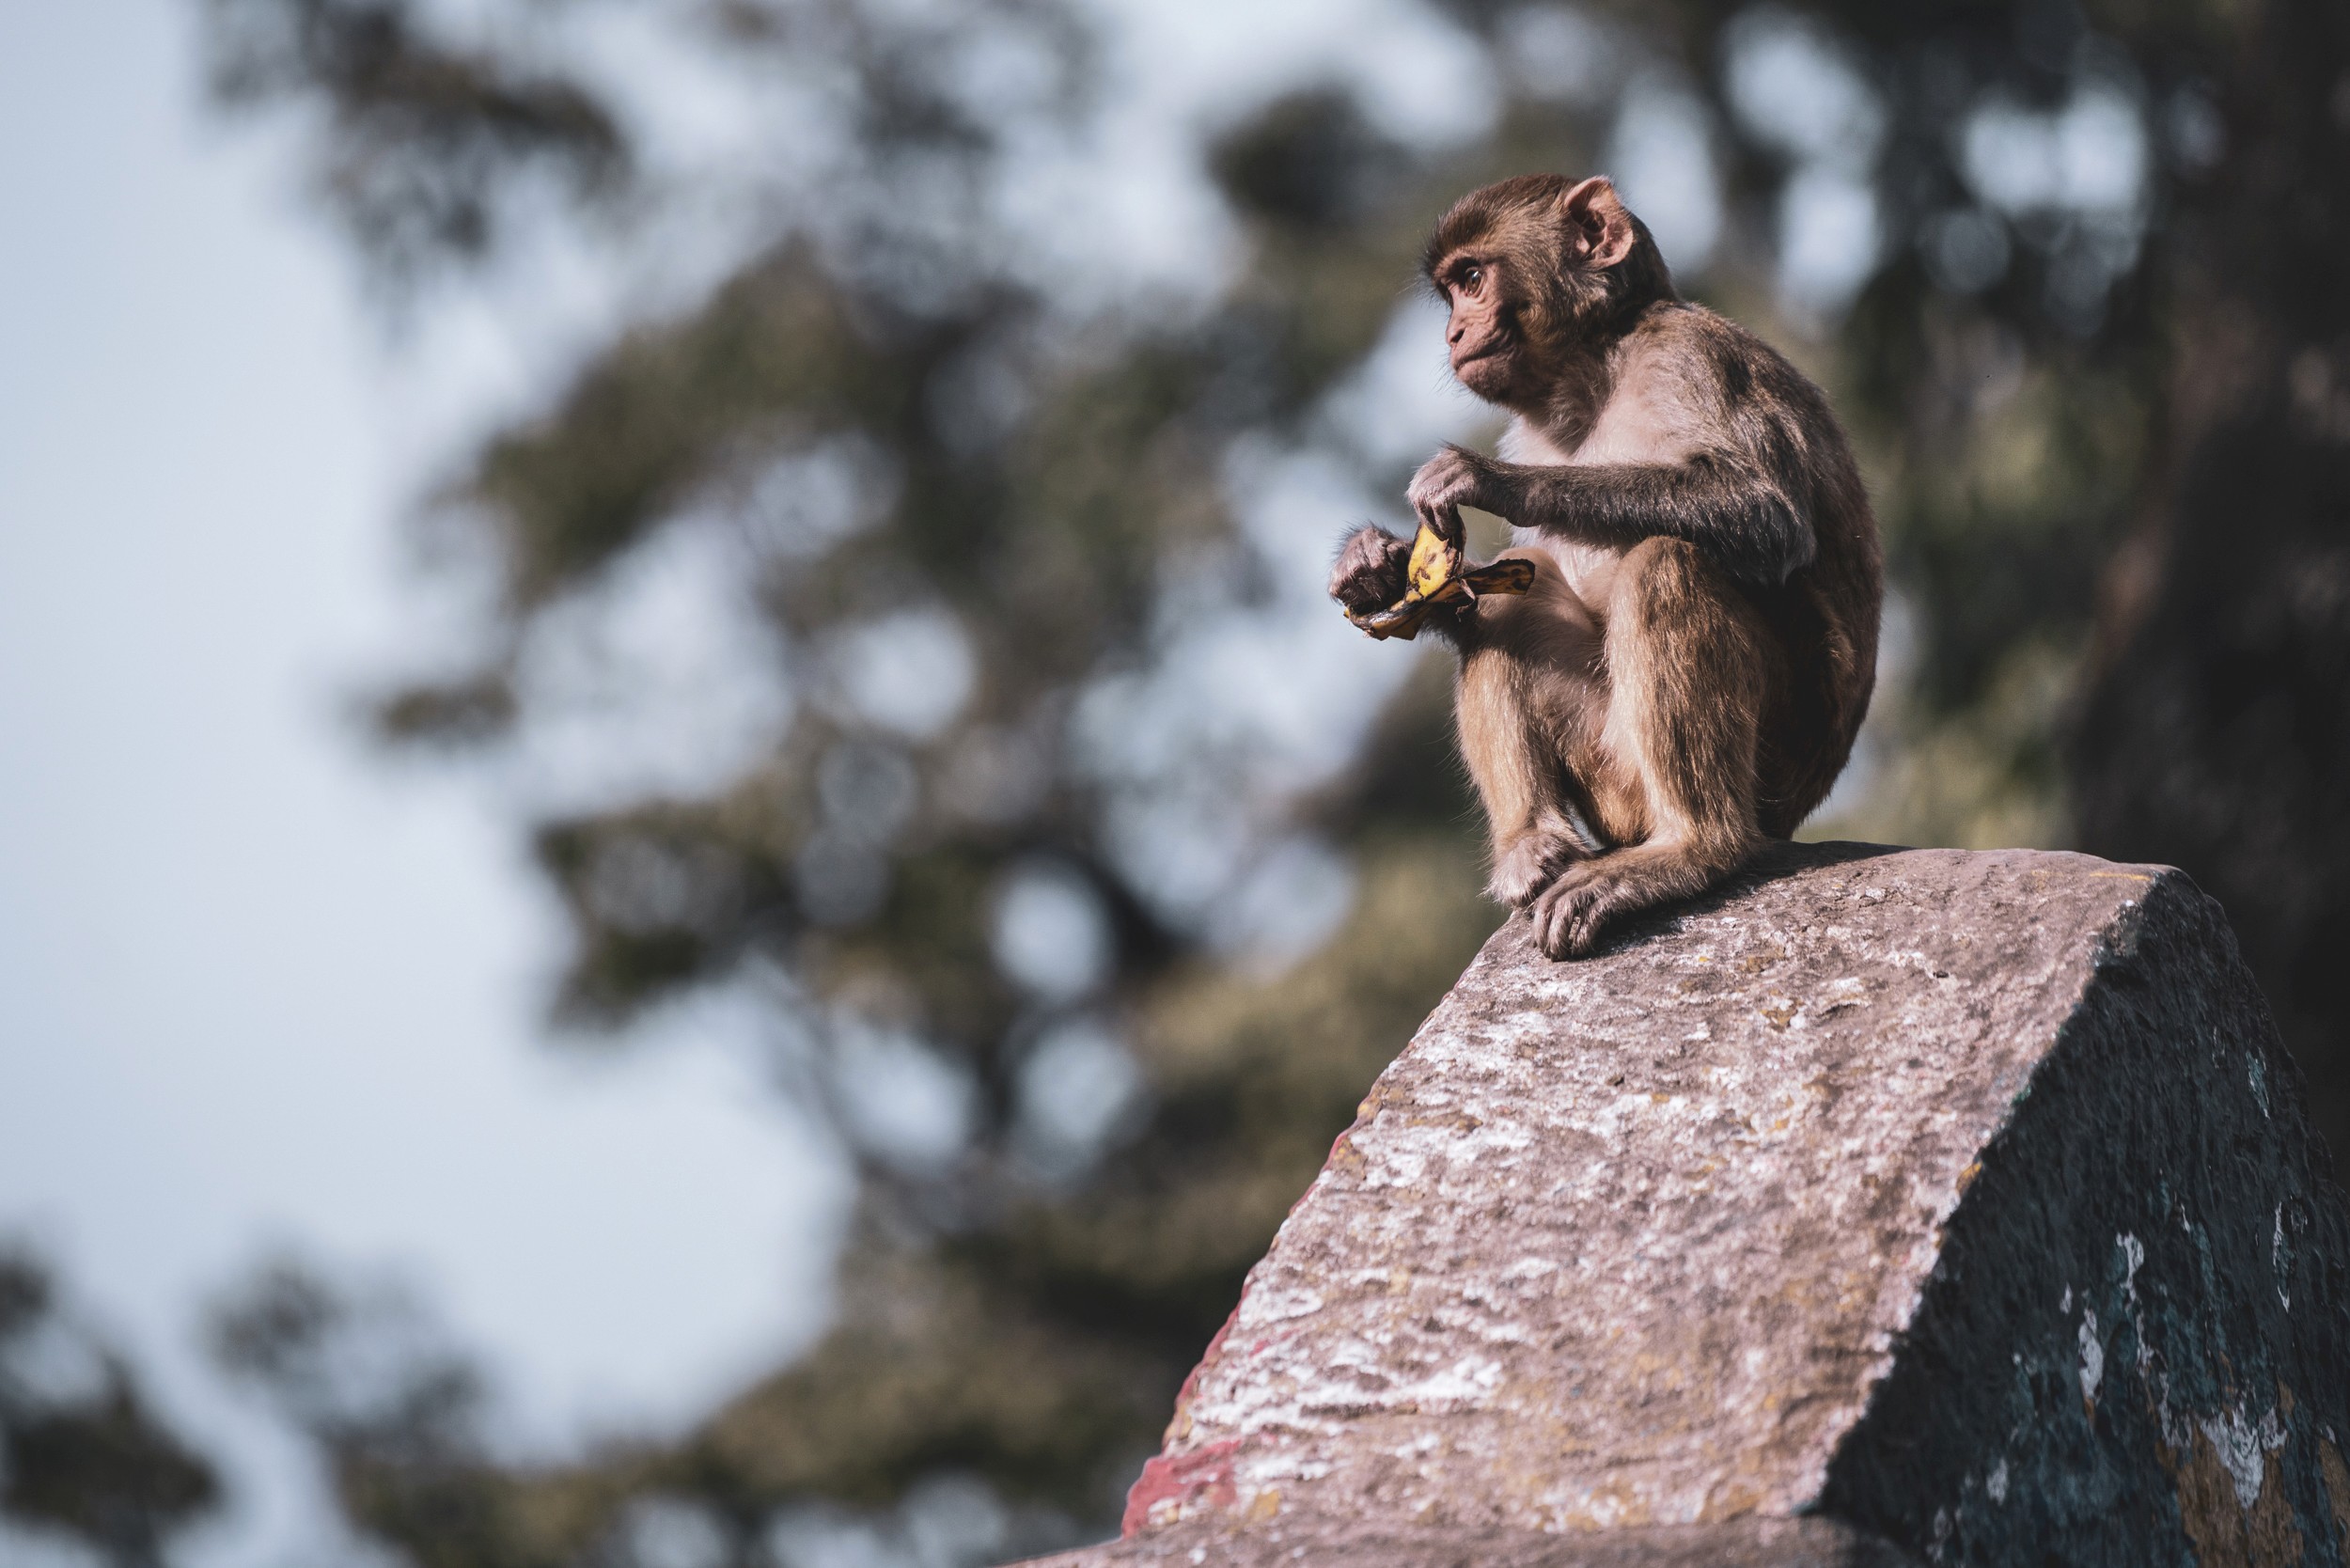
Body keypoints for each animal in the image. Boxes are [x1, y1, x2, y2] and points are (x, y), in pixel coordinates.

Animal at [1329, 173, 1882, 959]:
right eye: (1452, 292)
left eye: (1473, 280)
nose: (1453, 334)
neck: (1599, 366)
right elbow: (1477, 592)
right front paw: (1375, 566)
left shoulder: (1694, 359)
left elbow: (1766, 516)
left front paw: (1487, 480)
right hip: (1611, 781)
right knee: (1511, 597)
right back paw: (1532, 843)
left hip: (1756, 765)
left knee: (1667, 562)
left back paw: (1692, 850)